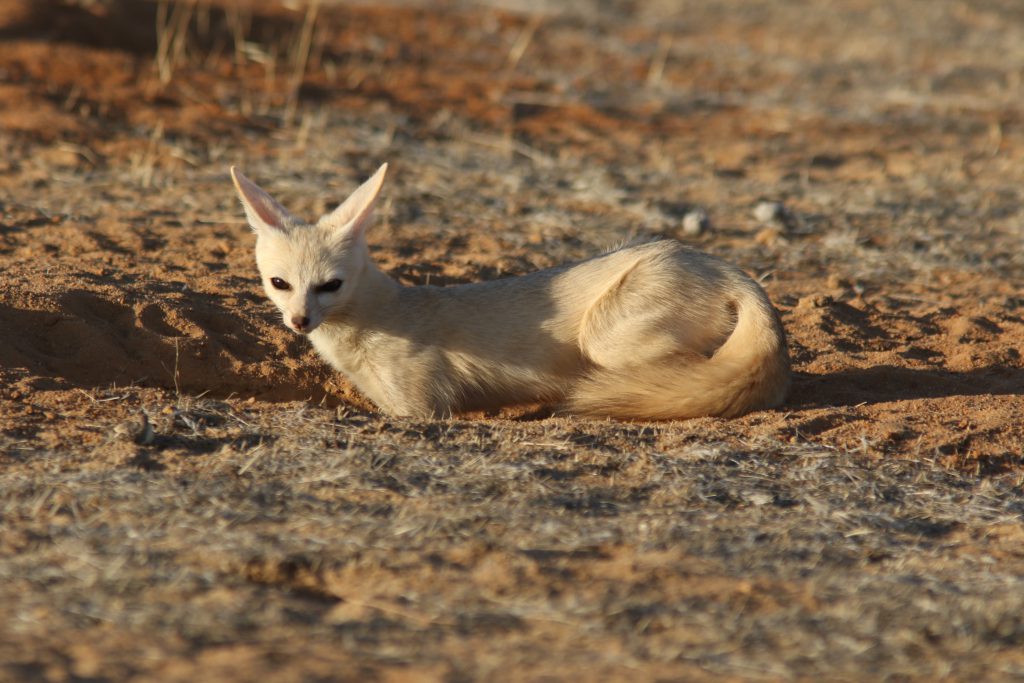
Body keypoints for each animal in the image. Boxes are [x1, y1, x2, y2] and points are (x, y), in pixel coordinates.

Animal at [229, 163, 790, 419]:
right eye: (279, 284)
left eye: (331, 285)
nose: (300, 321)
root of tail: (730, 269)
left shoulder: (419, 404)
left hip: (606, 340)